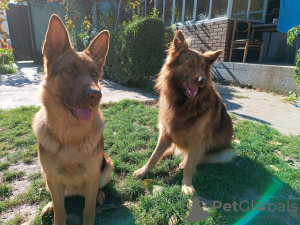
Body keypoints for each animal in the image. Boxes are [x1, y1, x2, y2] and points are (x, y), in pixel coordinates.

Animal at [32, 14, 113, 224]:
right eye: (69, 70)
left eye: (94, 74)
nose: (96, 94)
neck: (70, 135)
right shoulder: (53, 179)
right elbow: (60, 212)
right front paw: (55, 210)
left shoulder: (92, 177)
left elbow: (88, 211)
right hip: (48, 180)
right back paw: (50, 205)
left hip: (107, 166)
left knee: (96, 191)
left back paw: (100, 195)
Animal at [134, 29, 234, 195]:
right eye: (189, 64)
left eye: (203, 66)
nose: (203, 81)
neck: (183, 104)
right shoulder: (166, 131)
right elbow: (154, 156)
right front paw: (143, 171)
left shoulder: (197, 140)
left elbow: (190, 164)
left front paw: (186, 184)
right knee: (173, 150)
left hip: (227, 153)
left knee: (198, 158)